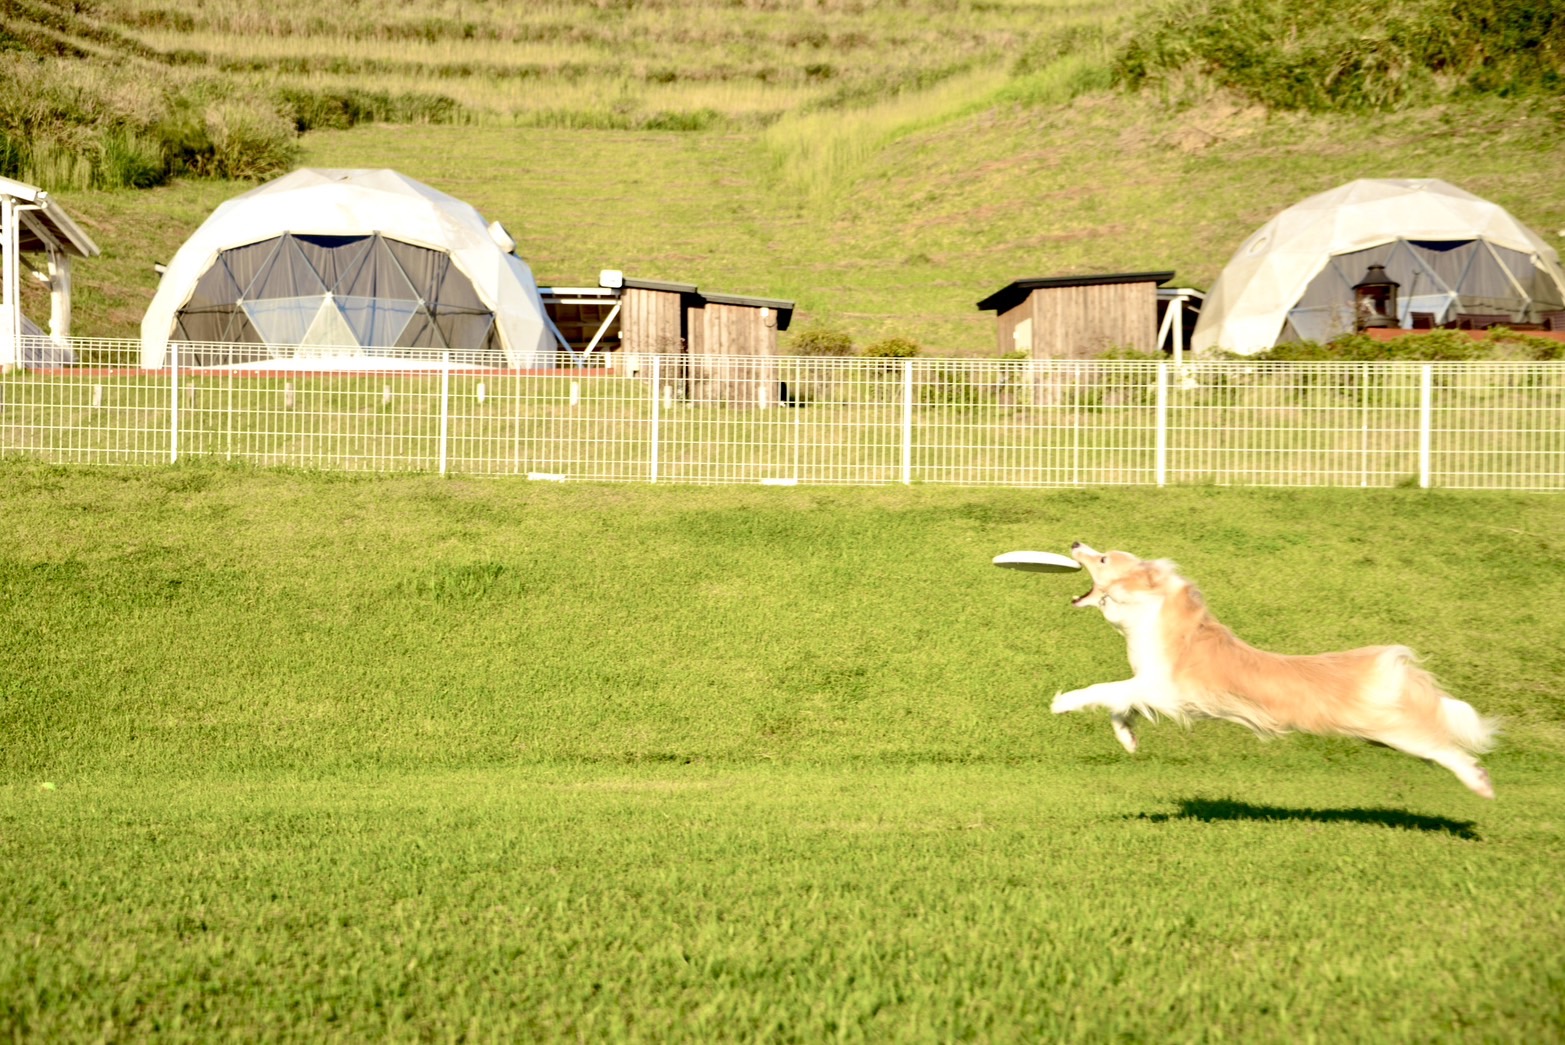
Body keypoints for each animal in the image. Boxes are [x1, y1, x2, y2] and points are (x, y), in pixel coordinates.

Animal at [1045, 544, 1496, 794]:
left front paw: (1062, 702)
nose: (1076, 541)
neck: (1158, 614)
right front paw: (1129, 740)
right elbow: (1120, 706)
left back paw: (1480, 783)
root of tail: (1387, 669)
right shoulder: (1150, 688)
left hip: (1393, 730)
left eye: (1102, 557)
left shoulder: (1162, 689)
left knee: (1447, 749)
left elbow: (1105, 690)